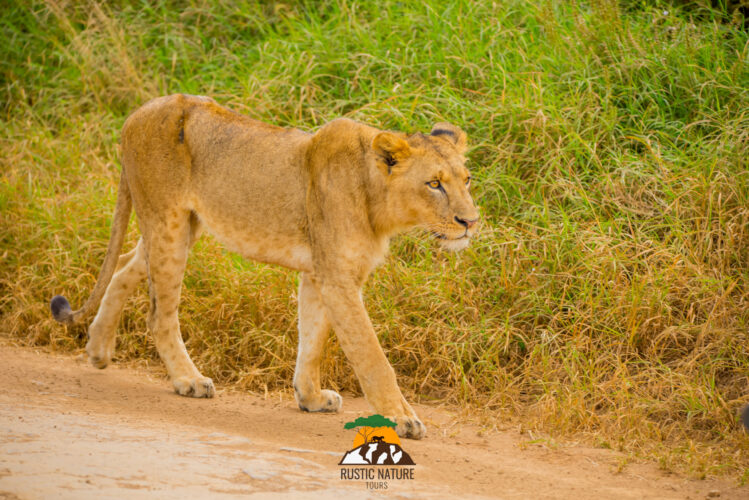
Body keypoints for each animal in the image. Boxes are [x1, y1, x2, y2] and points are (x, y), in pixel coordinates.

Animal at [48, 94, 480, 438]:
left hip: (179, 227)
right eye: (434, 184)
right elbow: (372, 357)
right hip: (167, 223)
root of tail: (137, 113)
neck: (376, 199)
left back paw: (98, 349)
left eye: (467, 180)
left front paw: (310, 398)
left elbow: (313, 340)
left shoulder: (319, 274)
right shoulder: (339, 279)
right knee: (159, 314)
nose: (471, 222)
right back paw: (188, 379)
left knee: (123, 267)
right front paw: (402, 419)